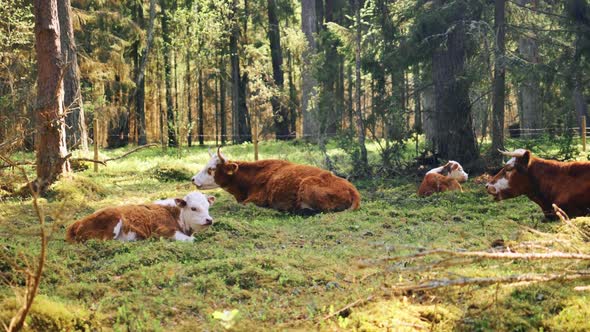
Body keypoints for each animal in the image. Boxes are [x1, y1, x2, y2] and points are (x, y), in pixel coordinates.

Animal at [65, 191, 217, 243]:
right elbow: (190, 240)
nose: (209, 220)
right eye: (193, 208)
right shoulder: (161, 231)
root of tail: (77, 222)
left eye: (208, 207)